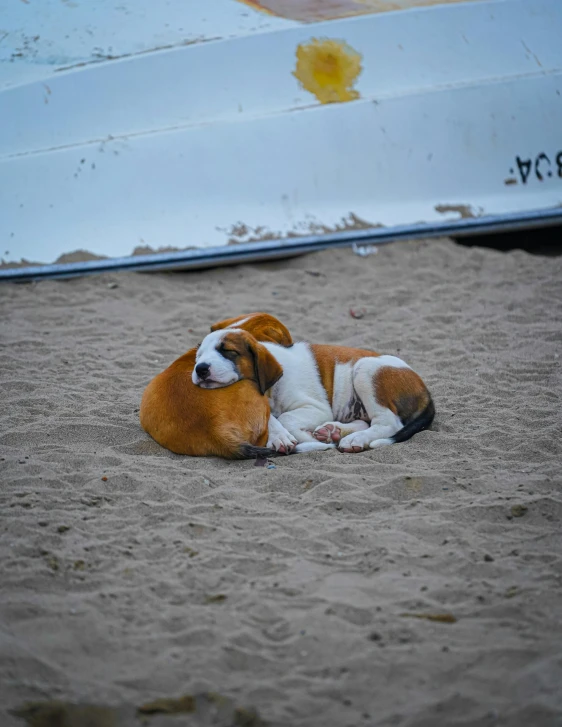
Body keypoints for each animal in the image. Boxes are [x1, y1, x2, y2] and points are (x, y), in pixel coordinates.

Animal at [192, 332, 434, 456]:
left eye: (228, 351)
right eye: (198, 356)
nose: (200, 368)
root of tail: (425, 391)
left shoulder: (316, 408)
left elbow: (286, 418)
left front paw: (300, 439)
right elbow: (272, 417)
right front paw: (280, 436)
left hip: (365, 369)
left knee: (388, 423)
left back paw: (353, 439)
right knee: (366, 421)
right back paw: (334, 431)